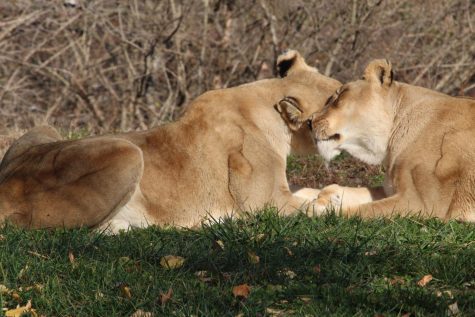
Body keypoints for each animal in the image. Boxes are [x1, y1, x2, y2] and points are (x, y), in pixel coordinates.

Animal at [0, 50, 342, 232]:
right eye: (338, 98)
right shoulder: (266, 204)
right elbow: (318, 208)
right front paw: (332, 201)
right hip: (128, 152)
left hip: (42, 129)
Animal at [286, 58, 475, 220]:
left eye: (339, 96)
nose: (309, 122)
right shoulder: (388, 189)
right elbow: (342, 190)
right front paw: (323, 197)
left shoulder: (425, 203)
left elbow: (363, 210)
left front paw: (319, 209)